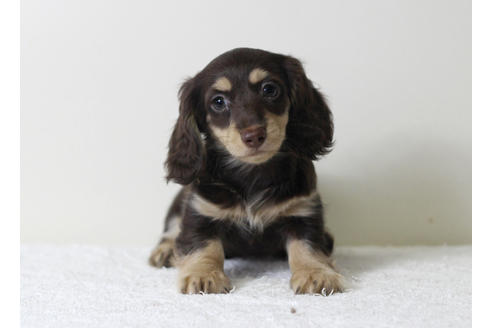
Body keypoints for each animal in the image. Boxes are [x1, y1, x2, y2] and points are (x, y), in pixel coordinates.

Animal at [150, 46, 342, 294]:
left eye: (269, 89)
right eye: (218, 101)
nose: (254, 135)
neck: (252, 175)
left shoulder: (303, 211)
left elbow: (308, 246)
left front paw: (315, 273)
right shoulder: (201, 212)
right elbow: (202, 246)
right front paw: (203, 275)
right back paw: (165, 250)